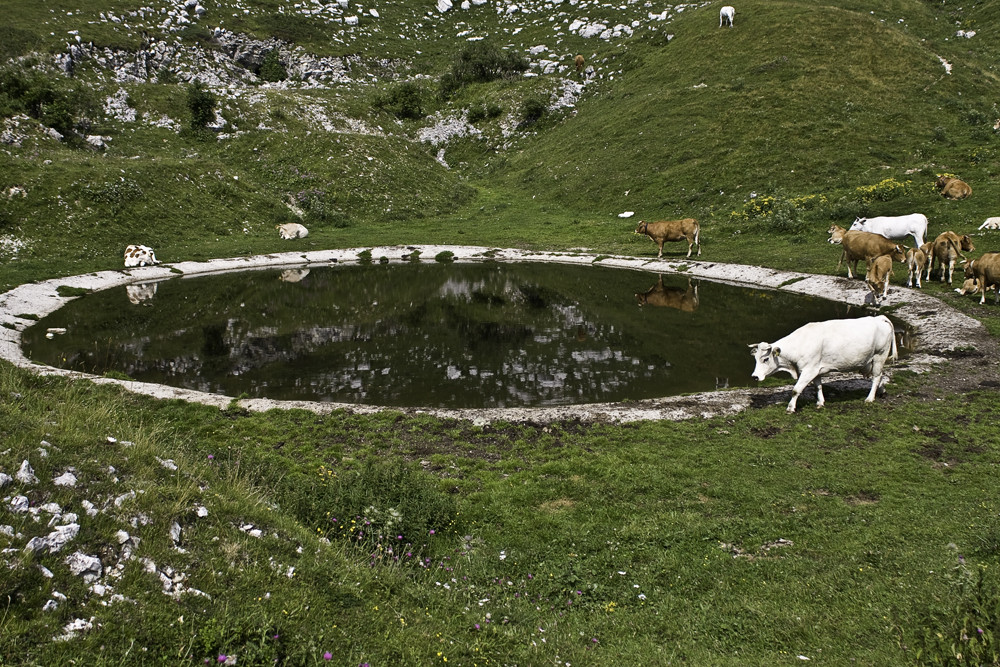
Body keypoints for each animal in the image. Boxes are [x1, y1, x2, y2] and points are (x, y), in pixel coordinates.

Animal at [752, 316, 900, 414]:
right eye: (755, 358)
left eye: (765, 359)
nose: (754, 376)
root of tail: (879, 318)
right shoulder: (816, 369)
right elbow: (818, 386)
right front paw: (820, 402)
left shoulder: (809, 370)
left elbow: (796, 390)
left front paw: (790, 408)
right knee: (879, 376)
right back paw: (882, 391)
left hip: (880, 355)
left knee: (876, 376)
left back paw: (870, 398)